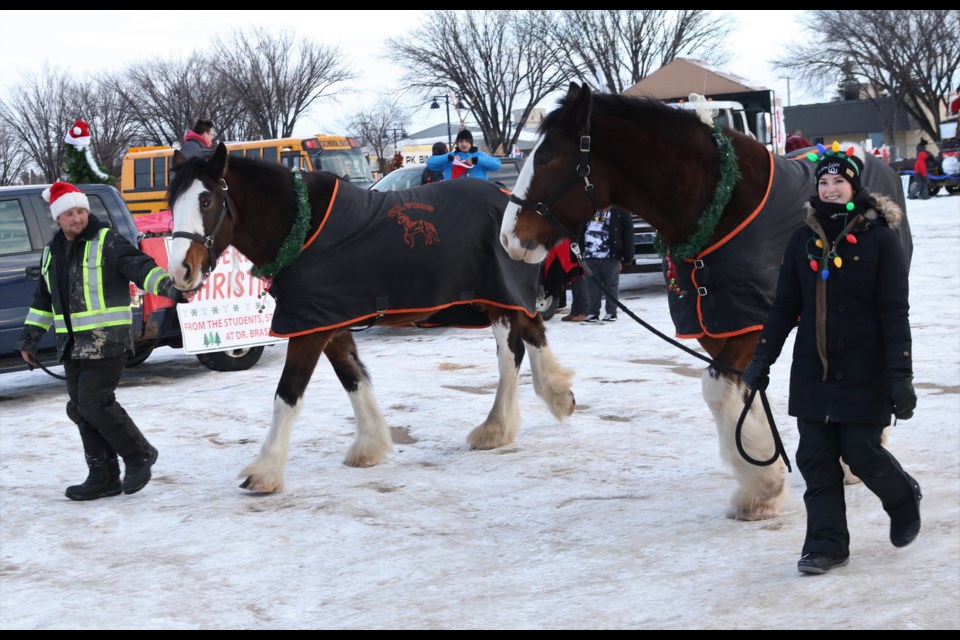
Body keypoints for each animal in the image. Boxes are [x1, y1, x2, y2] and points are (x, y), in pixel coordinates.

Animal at [165, 144, 572, 496]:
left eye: (206, 200)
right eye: (171, 202)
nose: (181, 272)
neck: (303, 227)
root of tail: (508, 200)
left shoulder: (310, 330)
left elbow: (287, 393)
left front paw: (265, 471)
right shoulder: (328, 323)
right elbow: (354, 378)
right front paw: (370, 444)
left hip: (499, 300)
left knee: (510, 355)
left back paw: (497, 428)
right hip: (503, 300)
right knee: (533, 331)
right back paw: (557, 396)